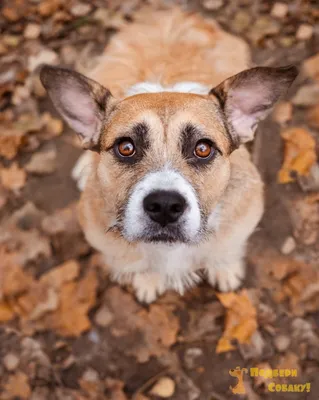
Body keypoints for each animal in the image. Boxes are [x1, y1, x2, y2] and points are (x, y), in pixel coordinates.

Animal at [40, 8, 298, 304]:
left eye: (203, 148)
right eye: (125, 147)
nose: (164, 205)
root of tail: (174, 12)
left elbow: (225, 249)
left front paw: (225, 269)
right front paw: (148, 280)